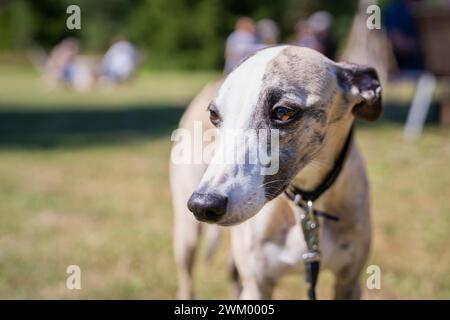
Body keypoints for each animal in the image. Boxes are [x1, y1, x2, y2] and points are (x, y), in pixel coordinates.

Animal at [171, 45, 382, 300]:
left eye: (283, 112)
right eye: (213, 114)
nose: (203, 205)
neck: (305, 202)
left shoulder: (348, 282)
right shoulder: (257, 285)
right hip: (187, 233)